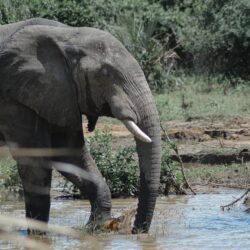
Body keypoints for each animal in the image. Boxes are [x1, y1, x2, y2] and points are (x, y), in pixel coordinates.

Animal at [0, 18, 161, 233]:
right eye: (106, 74)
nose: (137, 231)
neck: (66, 35)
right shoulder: (13, 99)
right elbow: (35, 162)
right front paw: (38, 235)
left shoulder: (60, 95)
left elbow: (70, 154)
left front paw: (96, 227)